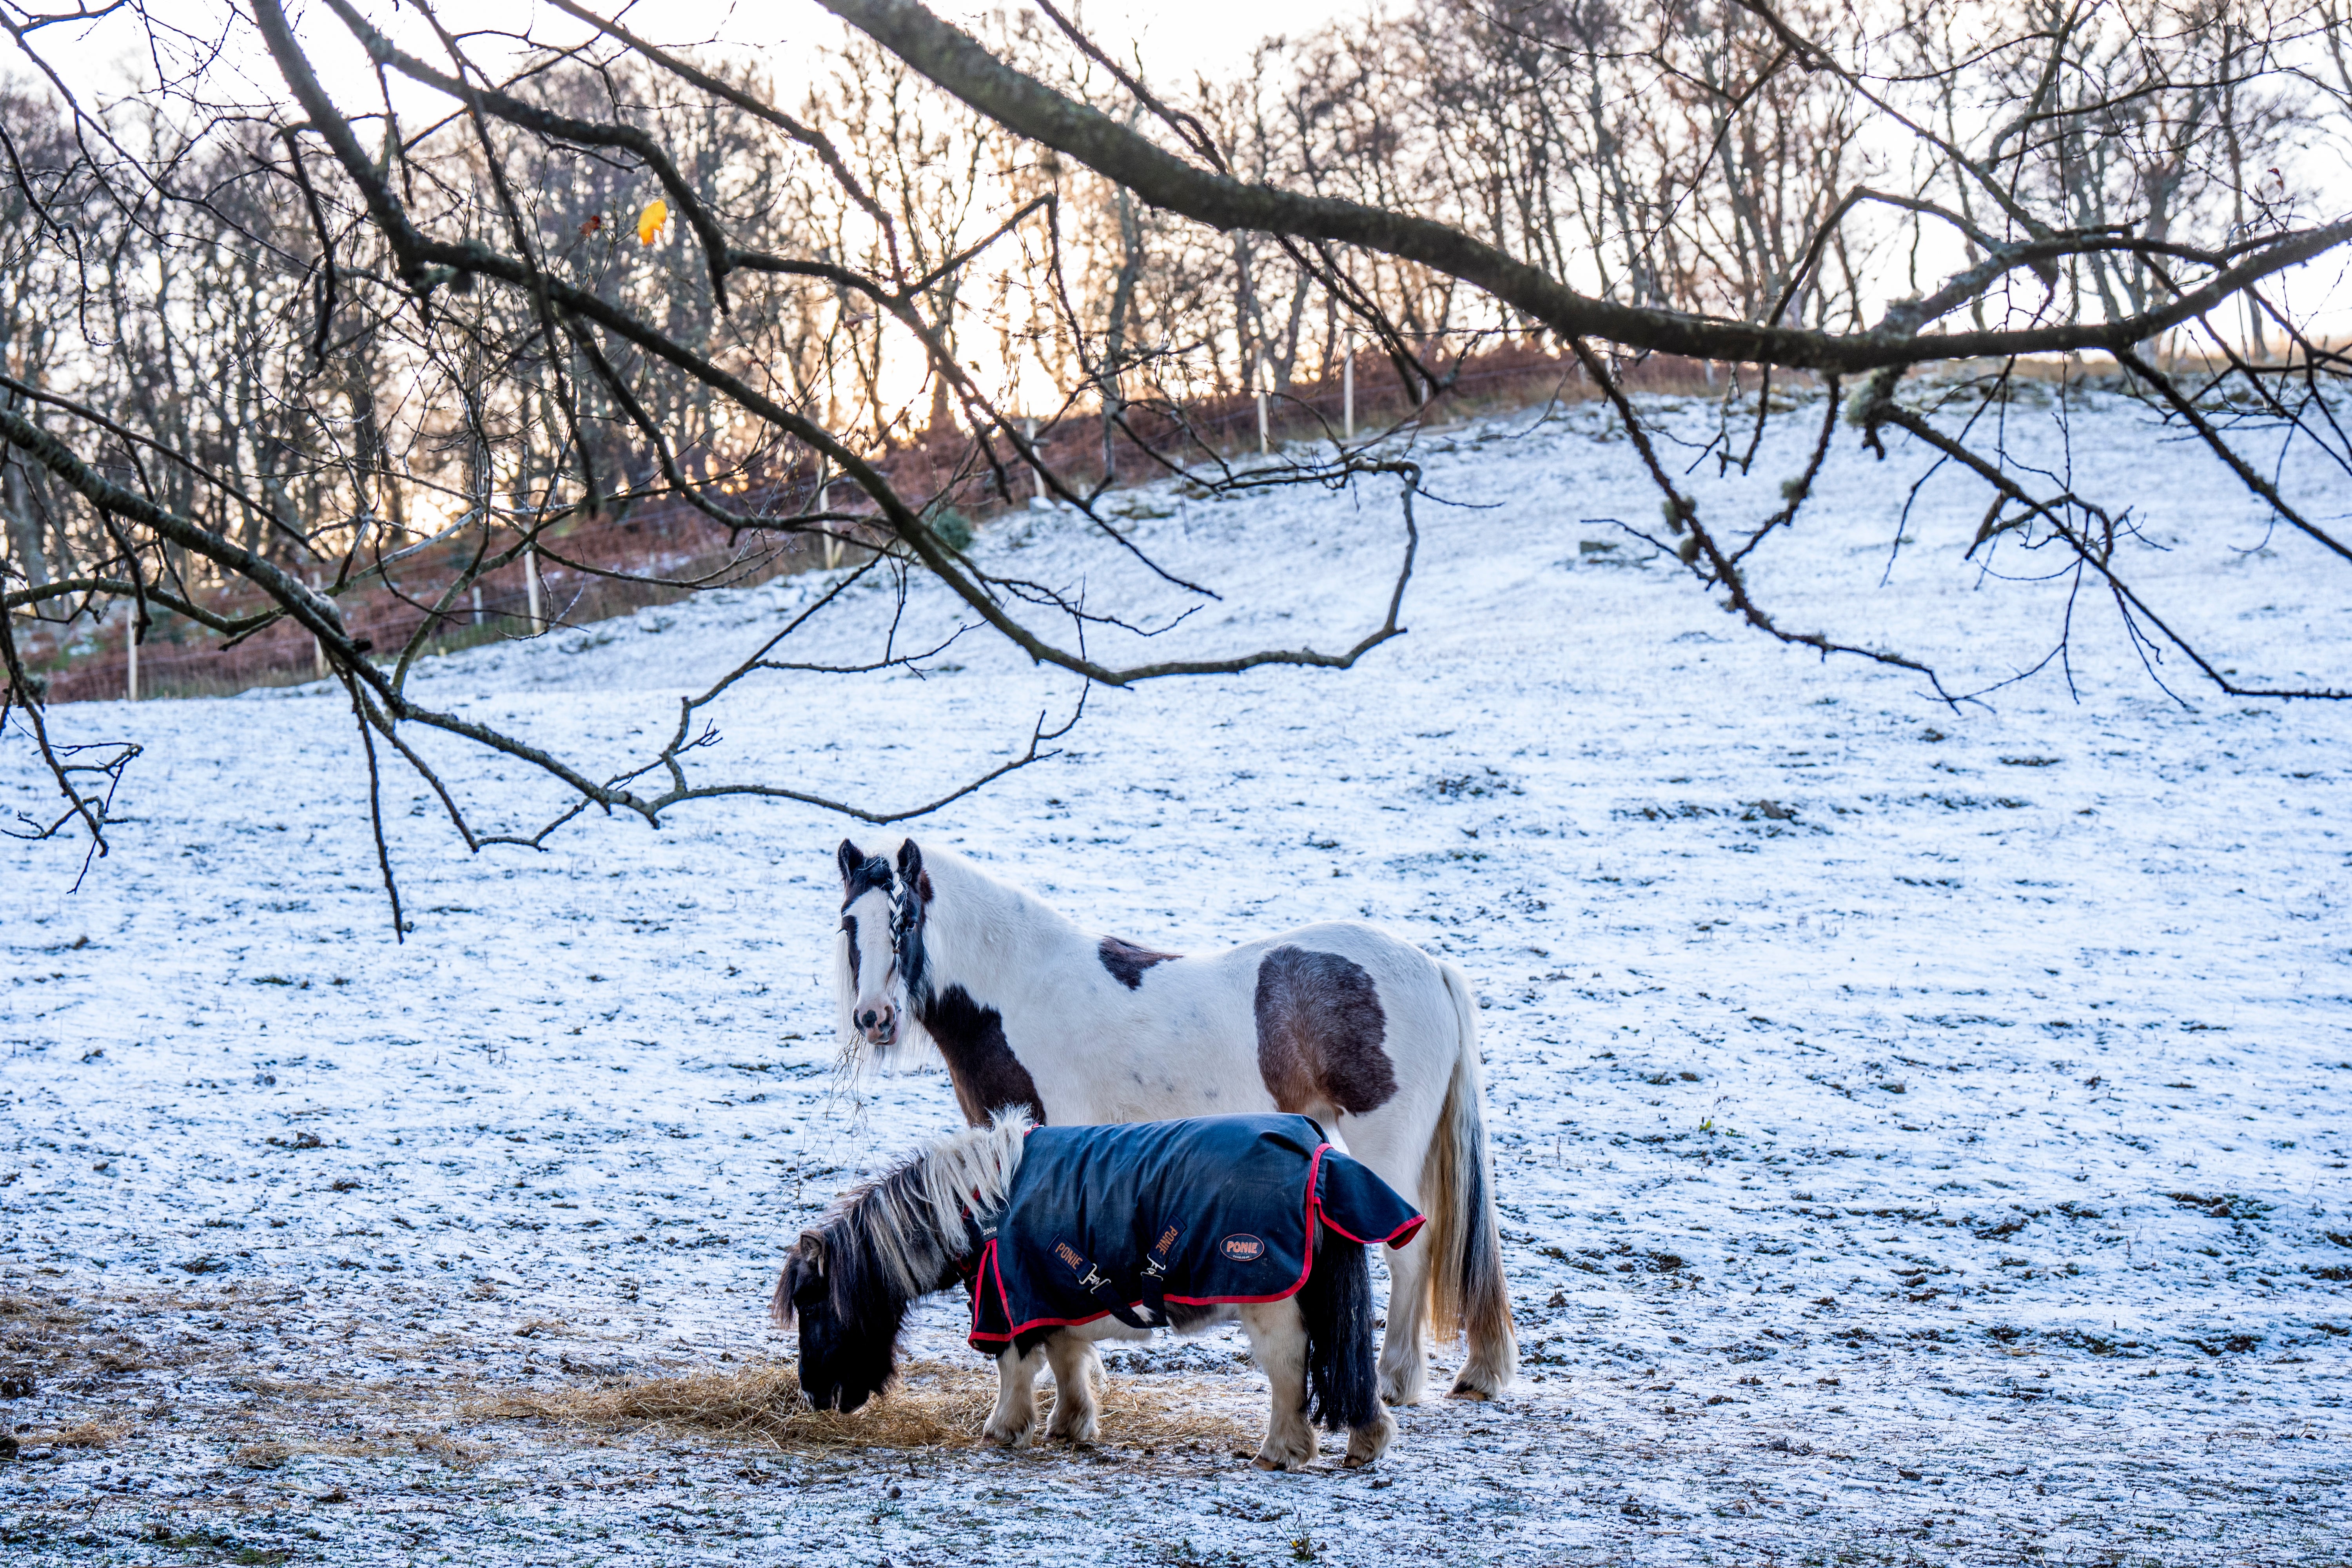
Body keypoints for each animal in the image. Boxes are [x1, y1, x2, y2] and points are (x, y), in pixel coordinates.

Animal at [771, 1109, 1392, 1467]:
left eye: (812, 1304)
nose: (815, 1395)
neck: (982, 1210)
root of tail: (1317, 1156)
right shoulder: (1052, 1298)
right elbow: (1066, 1361)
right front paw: (1069, 1427)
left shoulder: (1012, 1303)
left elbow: (1016, 1367)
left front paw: (1002, 1430)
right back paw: (1366, 1443)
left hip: (1273, 1307)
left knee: (1289, 1369)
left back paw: (1282, 1452)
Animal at [833, 841, 1524, 1401]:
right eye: (849, 924)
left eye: (906, 920)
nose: (874, 1017)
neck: (1019, 990)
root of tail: (1431, 968)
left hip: (1385, 1143)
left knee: (1412, 1253)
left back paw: (1396, 1381)